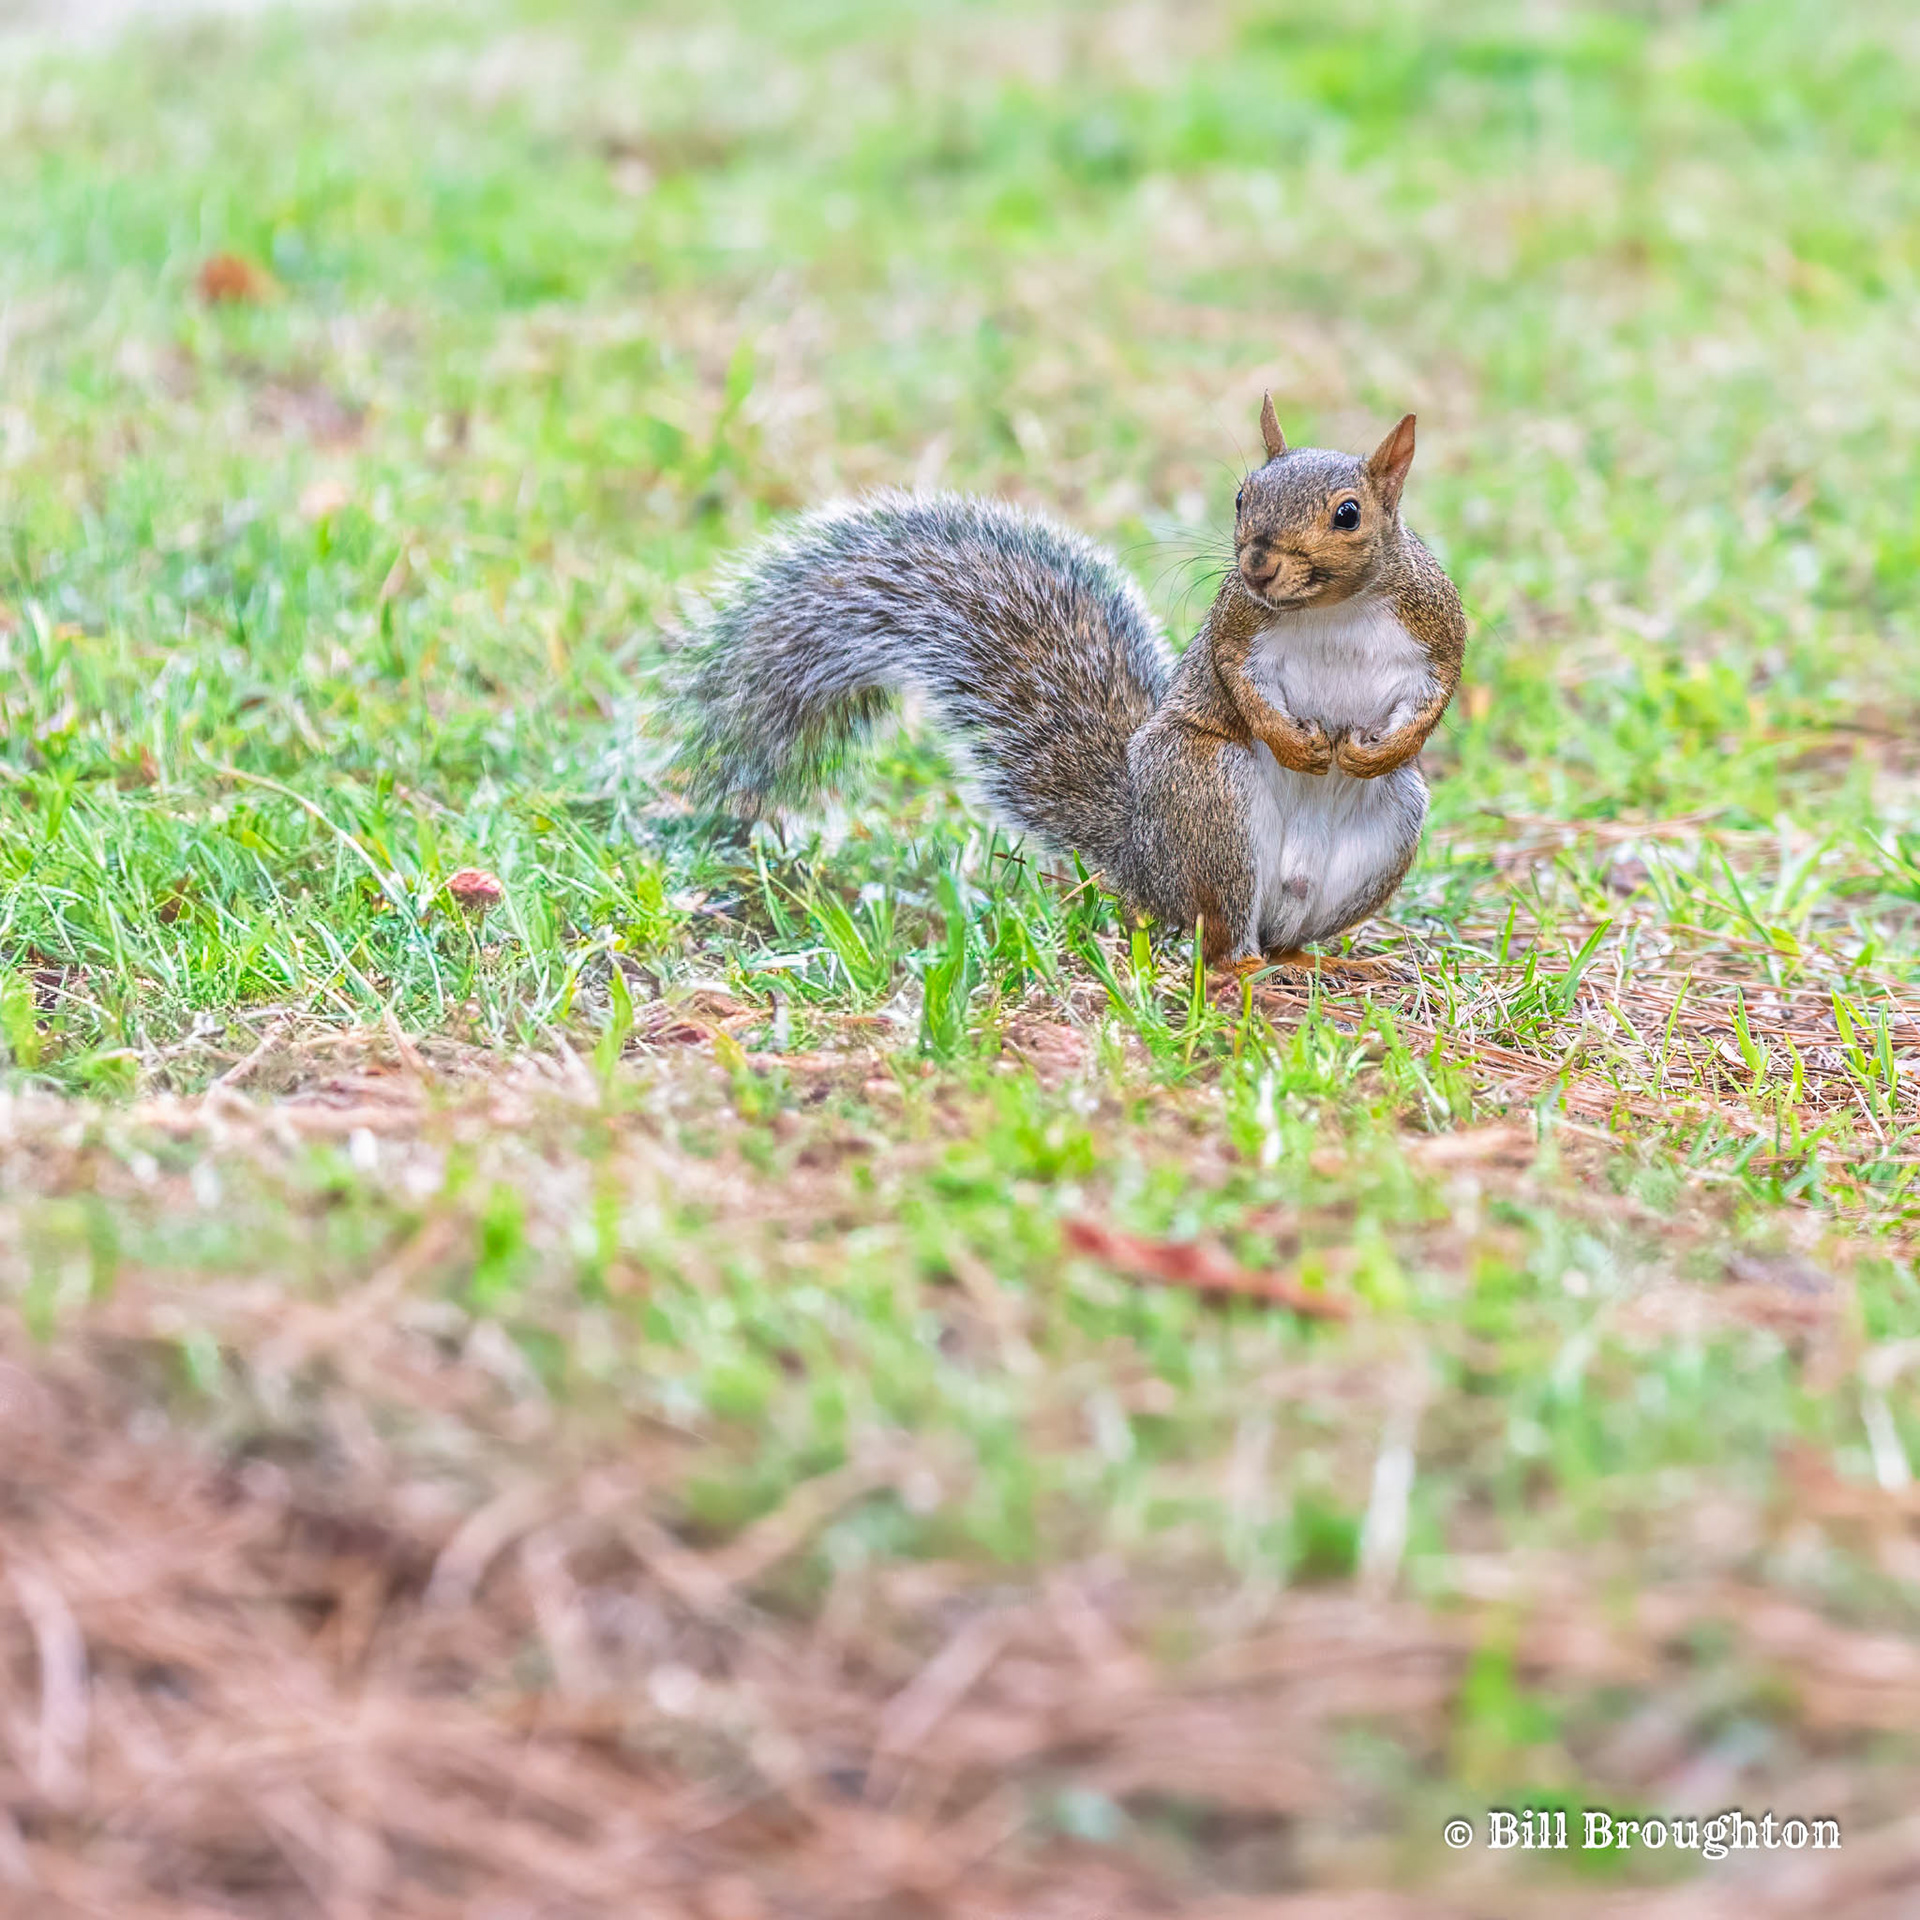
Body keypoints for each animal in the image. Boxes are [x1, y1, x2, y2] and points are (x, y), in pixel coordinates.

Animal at [672, 396, 1466, 969]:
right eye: (1243, 496)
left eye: (1348, 514)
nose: (1258, 563)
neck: (1333, 609)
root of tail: (1144, 860)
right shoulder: (1235, 630)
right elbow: (1237, 684)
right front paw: (1295, 743)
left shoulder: (1436, 628)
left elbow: (1436, 696)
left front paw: (1378, 748)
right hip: (1207, 795)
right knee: (1217, 936)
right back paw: (1245, 969)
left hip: (1388, 828)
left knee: (1284, 935)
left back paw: (1318, 961)